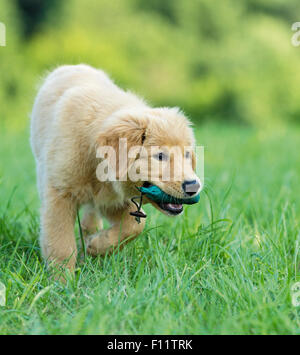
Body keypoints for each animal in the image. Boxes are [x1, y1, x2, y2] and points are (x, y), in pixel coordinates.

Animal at [30, 64, 200, 272]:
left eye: (187, 155)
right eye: (160, 156)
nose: (194, 186)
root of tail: (75, 65)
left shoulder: (112, 200)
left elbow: (135, 226)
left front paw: (96, 246)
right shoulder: (60, 194)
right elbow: (61, 244)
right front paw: (62, 278)